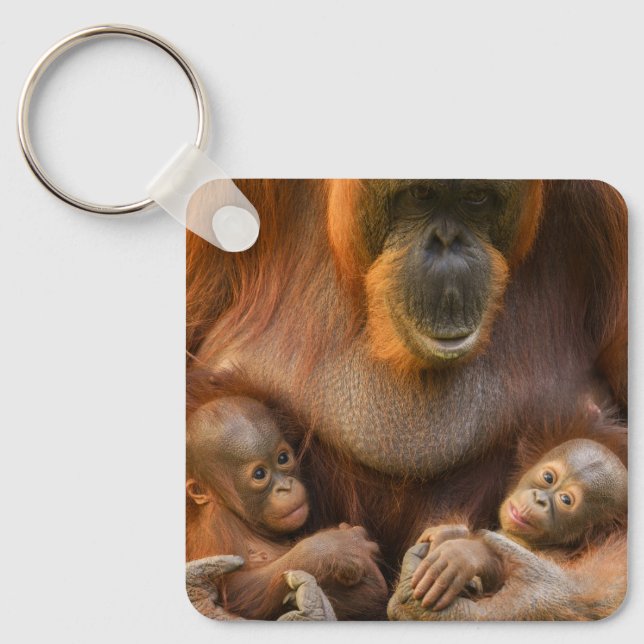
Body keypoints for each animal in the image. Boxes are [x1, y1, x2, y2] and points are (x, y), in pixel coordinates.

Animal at [186, 395, 389, 620]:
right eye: (259, 474)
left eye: (282, 458)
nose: (286, 487)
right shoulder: (218, 527)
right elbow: (235, 588)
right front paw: (335, 547)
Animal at [409, 439, 627, 611]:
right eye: (548, 478)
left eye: (566, 500)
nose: (540, 499)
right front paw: (446, 533)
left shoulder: (557, 554)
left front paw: (465, 555)